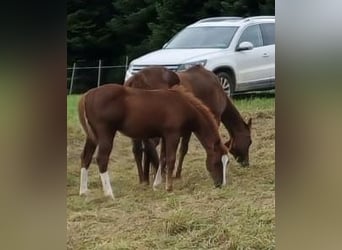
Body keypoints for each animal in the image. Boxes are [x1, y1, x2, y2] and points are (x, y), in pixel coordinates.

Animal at [78, 84, 228, 199]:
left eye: (227, 162)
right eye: (217, 162)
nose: (221, 185)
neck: (183, 105)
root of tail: (88, 95)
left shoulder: (165, 136)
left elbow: (163, 158)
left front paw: (157, 185)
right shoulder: (173, 135)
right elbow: (171, 159)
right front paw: (169, 188)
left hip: (92, 137)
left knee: (86, 157)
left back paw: (83, 191)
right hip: (106, 134)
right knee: (102, 159)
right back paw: (109, 194)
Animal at [124, 64, 252, 186]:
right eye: (249, 141)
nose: (246, 163)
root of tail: (135, 79)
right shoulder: (211, 120)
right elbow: (183, 149)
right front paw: (176, 174)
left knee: (138, 149)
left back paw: (144, 178)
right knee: (150, 146)